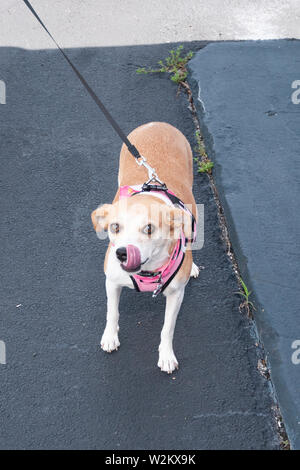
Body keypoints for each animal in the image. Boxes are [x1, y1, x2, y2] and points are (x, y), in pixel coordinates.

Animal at [91, 122, 199, 374]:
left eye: (149, 228)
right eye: (115, 226)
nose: (122, 253)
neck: (147, 273)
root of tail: (158, 124)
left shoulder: (176, 295)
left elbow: (168, 328)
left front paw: (166, 355)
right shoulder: (111, 282)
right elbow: (112, 312)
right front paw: (110, 336)